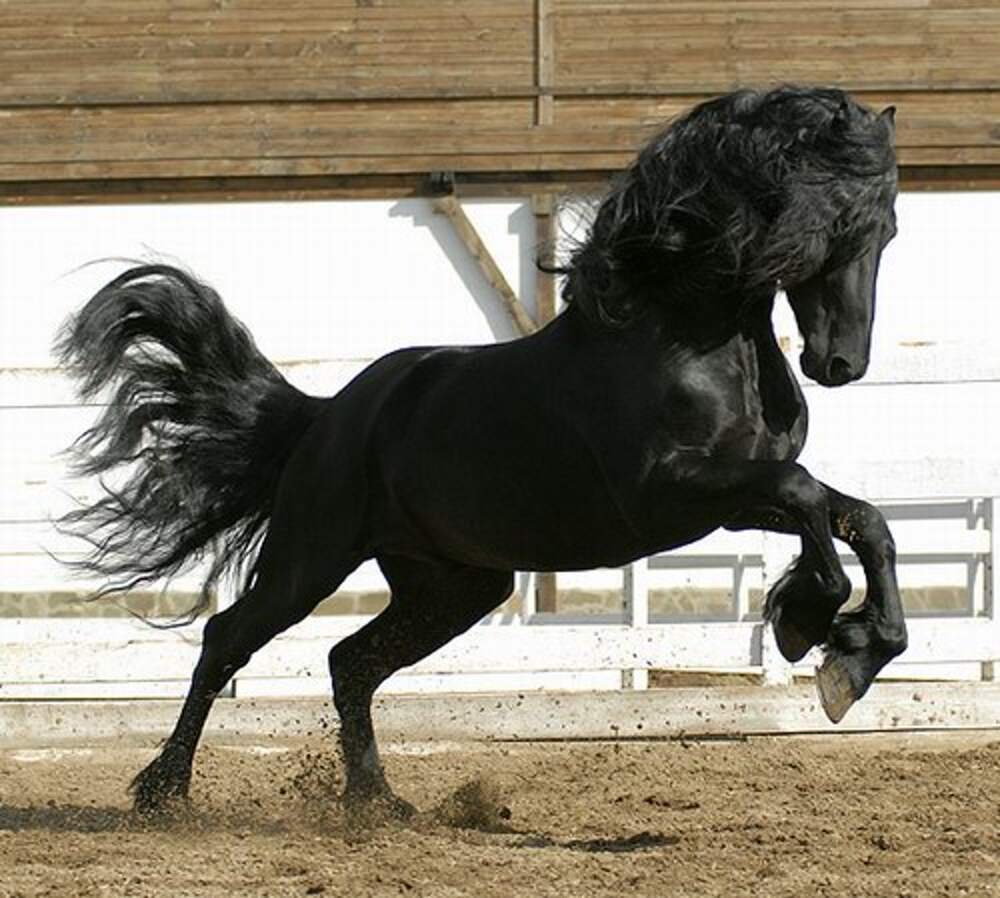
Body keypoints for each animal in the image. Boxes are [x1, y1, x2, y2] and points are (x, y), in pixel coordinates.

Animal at [56, 85, 904, 819]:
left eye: (887, 228)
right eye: (836, 222)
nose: (840, 362)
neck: (680, 333)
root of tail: (326, 417)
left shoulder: (730, 501)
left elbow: (860, 518)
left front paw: (856, 651)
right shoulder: (671, 495)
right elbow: (806, 494)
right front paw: (811, 623)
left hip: (457, 584)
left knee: (349, 663)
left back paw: (378, 804)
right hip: (310, 559)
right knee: (227, 639)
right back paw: (165, 794)